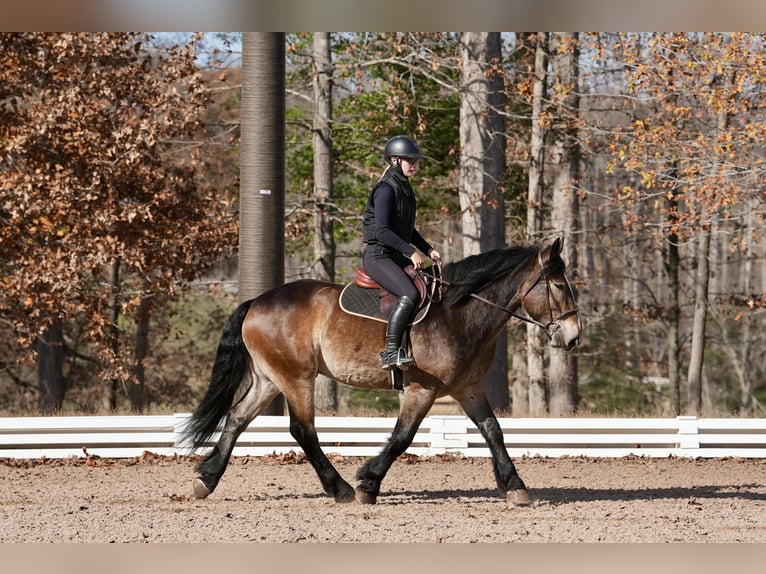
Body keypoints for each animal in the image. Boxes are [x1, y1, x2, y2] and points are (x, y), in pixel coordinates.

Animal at [180, 237, 581, 505]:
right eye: (559, 285)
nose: (573, 337)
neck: (459, 312)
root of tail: (256, 303)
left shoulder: (468, 387)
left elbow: (493, 430)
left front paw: (515, 486)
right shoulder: (422, 389)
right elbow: (402, 437)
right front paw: (368, 484)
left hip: (270, 379)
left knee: (236, 418)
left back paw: (206, 481)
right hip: (296, 378)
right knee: (302, 430)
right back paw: (340, 489)